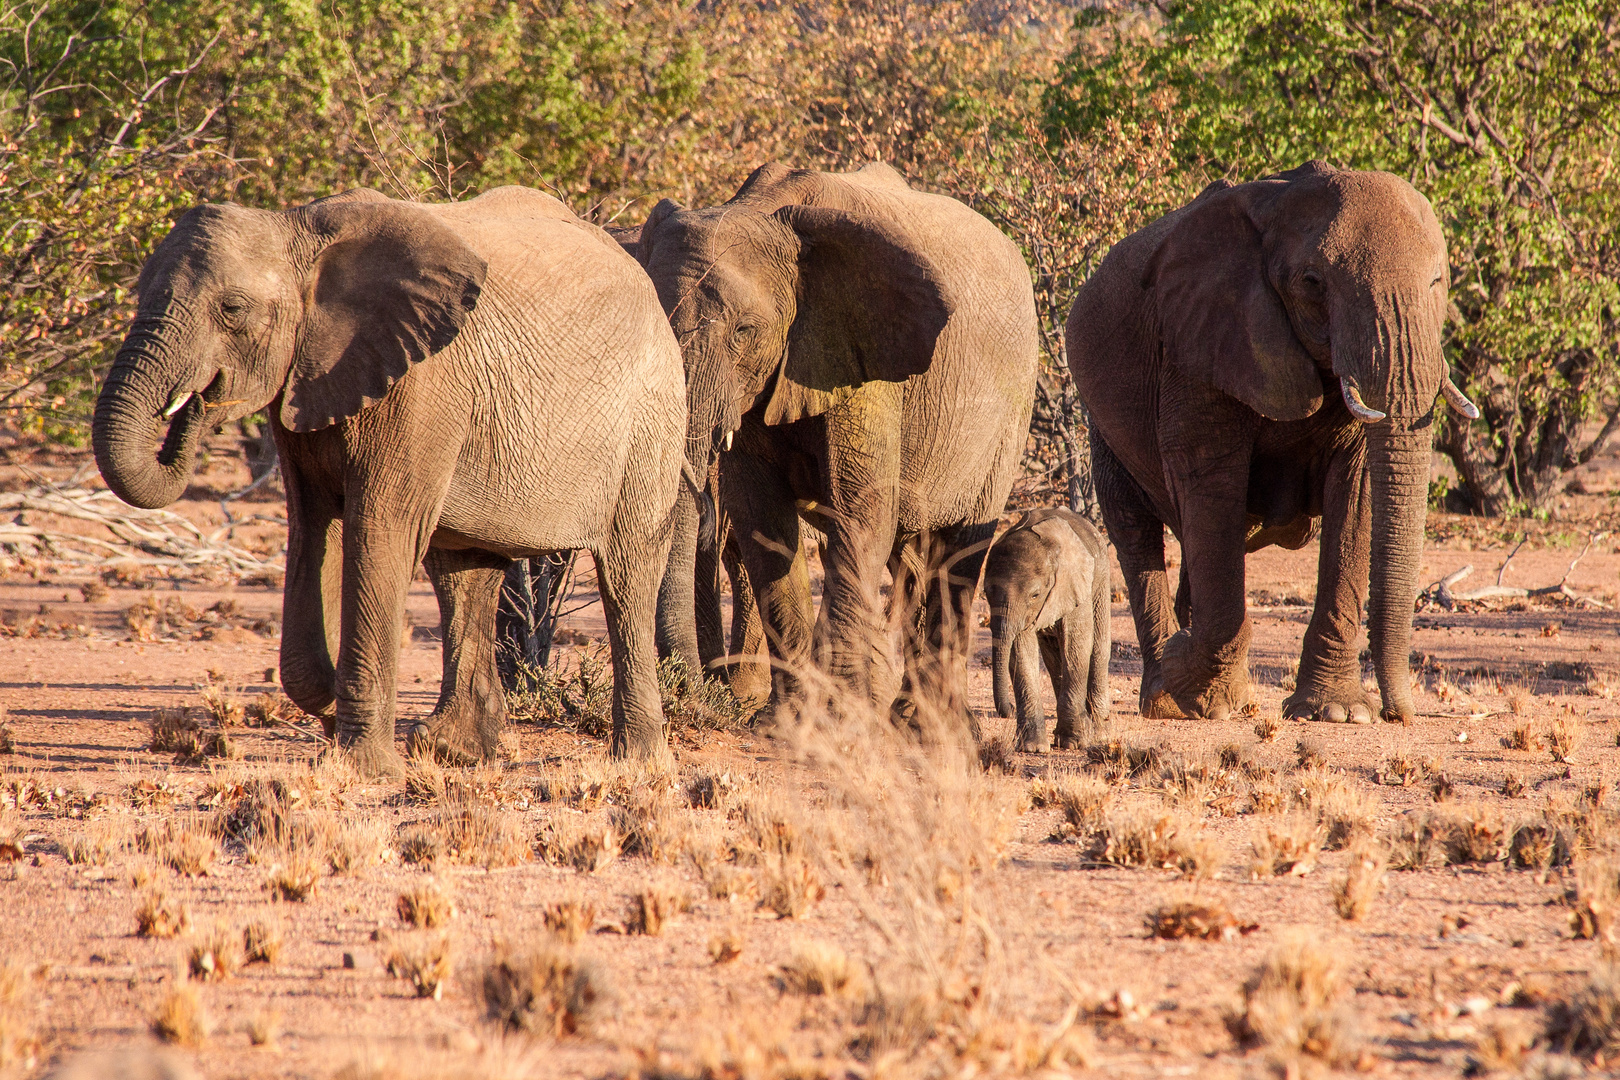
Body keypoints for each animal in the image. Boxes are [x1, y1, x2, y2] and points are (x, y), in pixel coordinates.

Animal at [93, 187, 690, 777]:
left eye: (233, 310)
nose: (196, 402)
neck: (296, 229)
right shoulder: (307, 377)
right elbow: (311, 526)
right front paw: (332, 714)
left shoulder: (420, 386)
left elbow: (380, 531)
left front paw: (365, 767)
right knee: (463, 571)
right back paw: (453, 750)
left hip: (652, 417)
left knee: (628, 571)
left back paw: (638, 763)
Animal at [978, 508, 1108, 751]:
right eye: (987, 593)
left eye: (1035, 595)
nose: (1009, 709)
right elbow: (1021, 650)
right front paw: (1032, 747)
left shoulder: (1074, 584)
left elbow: (1077, 644)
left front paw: (1074, 743)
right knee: (1053, 656)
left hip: (1102, 576)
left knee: (1098, 648)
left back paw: (1099, 732)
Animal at [1069, 160, 1477, 725]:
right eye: (1312, 283)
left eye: (1437, 281)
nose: (1402, 715)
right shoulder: (1196, 343)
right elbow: (1209, 481)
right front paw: (1186, 675)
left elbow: (1357, 494)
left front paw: (1338, 713)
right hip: (1102, 423)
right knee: (1134, 528)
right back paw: (1170, 698)